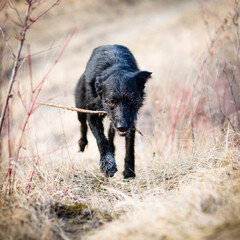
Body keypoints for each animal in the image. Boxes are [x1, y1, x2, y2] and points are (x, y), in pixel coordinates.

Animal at [75, 44, 151, 178]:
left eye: (131, 99)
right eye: (110, 102)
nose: (122, 127)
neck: (116, 67)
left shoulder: (131, 120)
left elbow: (129, 146)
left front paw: (129, 172)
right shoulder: (92, 115)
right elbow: (100, 138)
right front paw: (107, 164)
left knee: (110, 132)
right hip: (80, 107)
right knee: (82, 125)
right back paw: (82, 143)